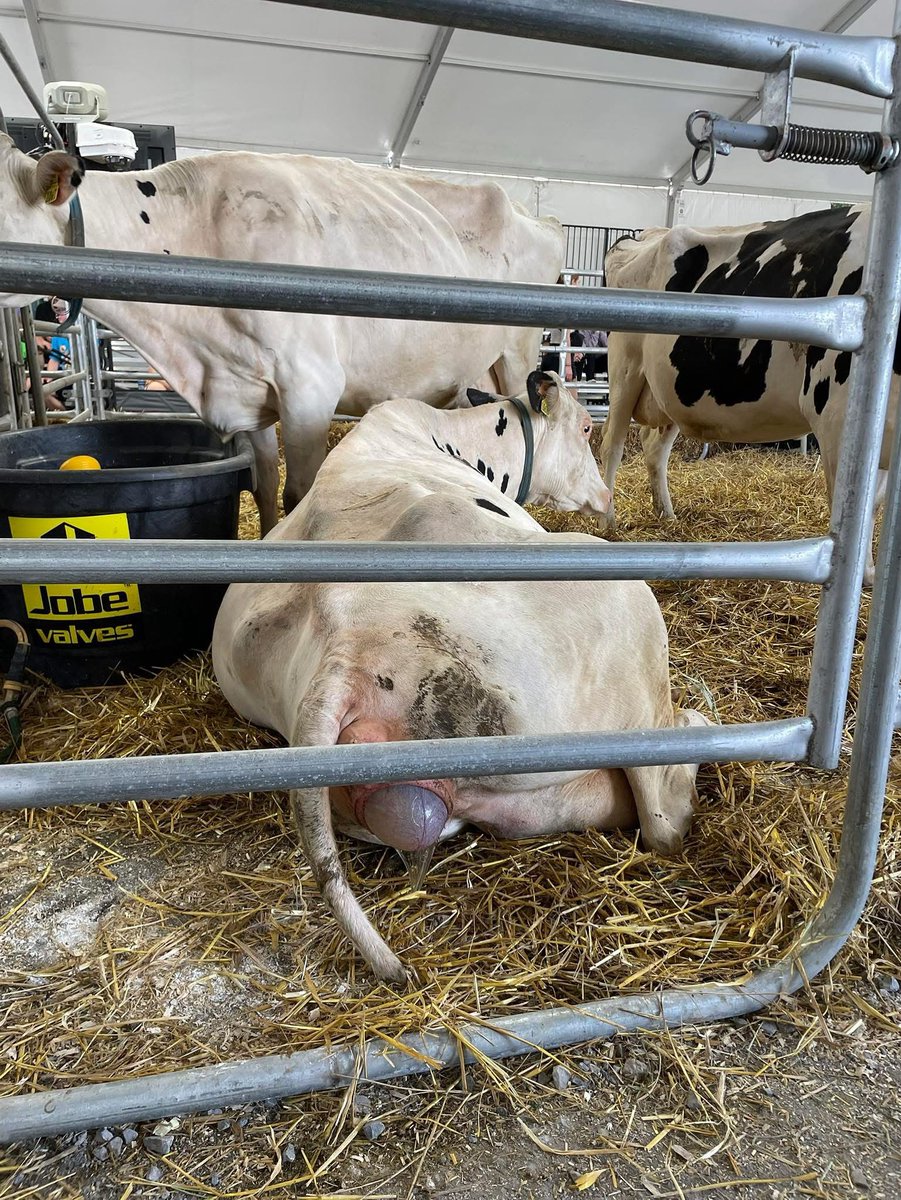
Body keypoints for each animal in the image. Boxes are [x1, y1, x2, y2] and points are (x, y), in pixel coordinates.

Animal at [0, 137, 565, 532]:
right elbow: (263, 485)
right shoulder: (245, 391)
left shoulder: (309, 388)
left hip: (518, 351)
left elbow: (300, 494)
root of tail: (541, 218)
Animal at [212, 370, 709, 983]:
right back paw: (696, 728)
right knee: (662, 817)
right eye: (586, 428)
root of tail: (344, 641)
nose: (606, 498)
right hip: (626, 628)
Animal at [600, 206, 894, 573]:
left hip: (670, 389)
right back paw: (607, 524)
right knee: (612, 444)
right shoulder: (835, 418)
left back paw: (666, 514)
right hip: (624, 370)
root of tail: (646, 235)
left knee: (653, 447)